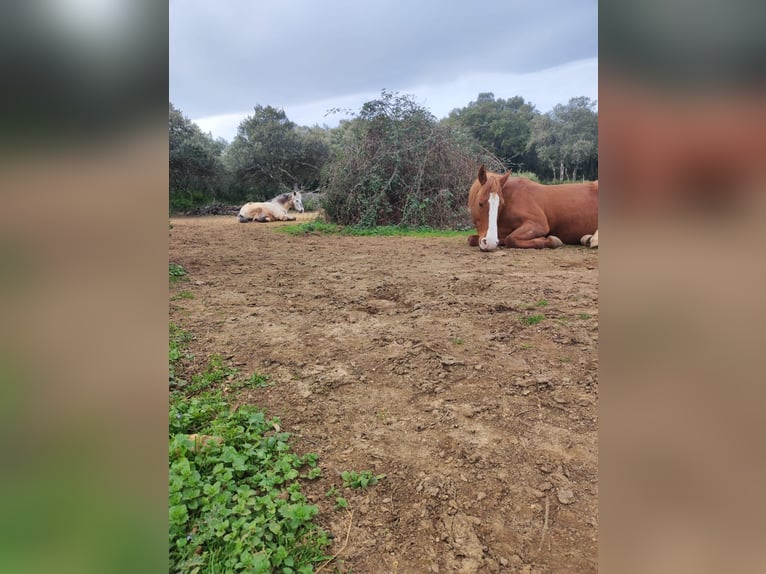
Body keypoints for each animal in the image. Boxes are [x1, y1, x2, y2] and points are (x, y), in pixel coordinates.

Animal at [468, 164, 600, 250]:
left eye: (502, 204)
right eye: (480, 203)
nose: (490, 242)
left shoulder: (538, 224)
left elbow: (511, 239)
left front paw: (552, 240)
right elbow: (471, 239)